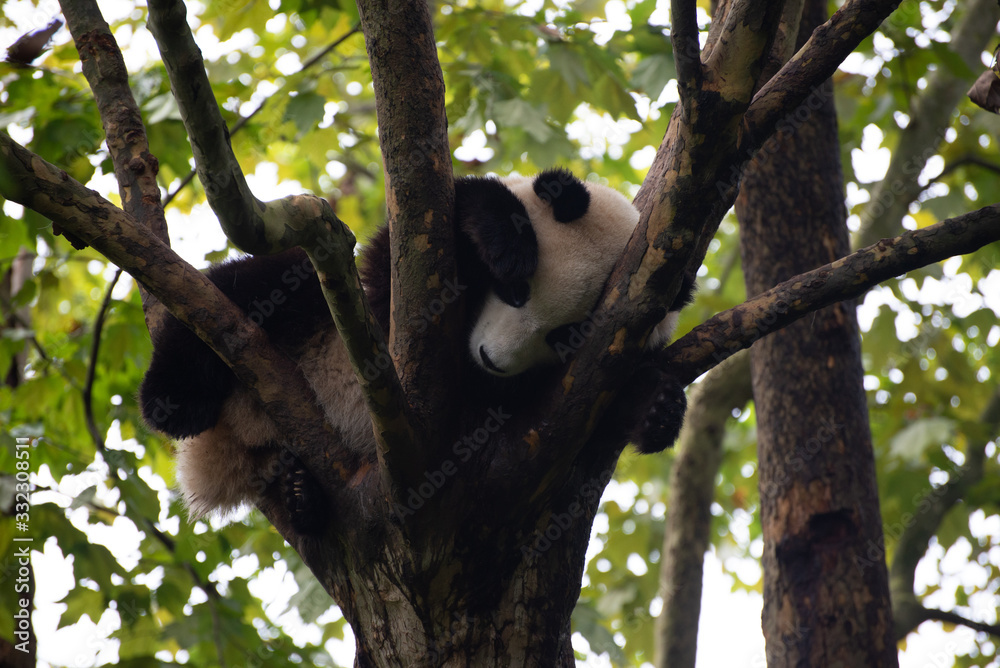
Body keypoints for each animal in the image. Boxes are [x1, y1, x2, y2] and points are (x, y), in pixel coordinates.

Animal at [140, 169, 694, 524]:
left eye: (563, 338)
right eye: (516, 292)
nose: (492, 359)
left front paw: (657, 407)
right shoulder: (399, 277)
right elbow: (439, 220)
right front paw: (506, 240)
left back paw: (302, 495)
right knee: (259, 287)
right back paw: (173, 400)